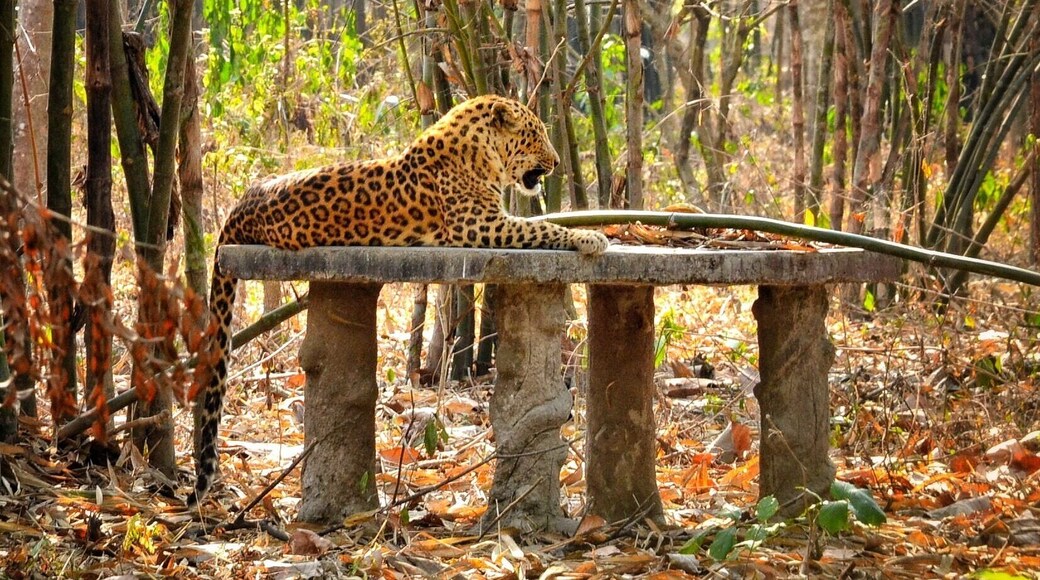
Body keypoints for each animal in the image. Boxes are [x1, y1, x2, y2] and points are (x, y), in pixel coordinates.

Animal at [188, 95, 609, 504]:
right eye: (536, 135)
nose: (557, 162)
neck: (479, 150)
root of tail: (241, 203)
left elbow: (541, 222)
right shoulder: (480, 226)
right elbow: (543, 226)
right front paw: (591, 237)